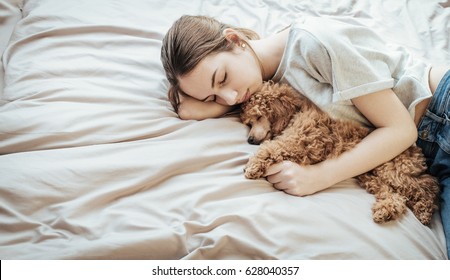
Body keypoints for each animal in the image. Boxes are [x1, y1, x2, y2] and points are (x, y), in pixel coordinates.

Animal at [241, 81, 442, 225]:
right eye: (248, 122)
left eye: (258, 116)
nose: (249, 140)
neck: (294, 113)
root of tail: (416, 154)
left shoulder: (297, 142)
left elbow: (270, 148)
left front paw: (253, 166)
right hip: (371, 176)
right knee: (396, 195)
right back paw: (385, 211)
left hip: (391, 170)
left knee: (428, 185)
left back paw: (424, 211)